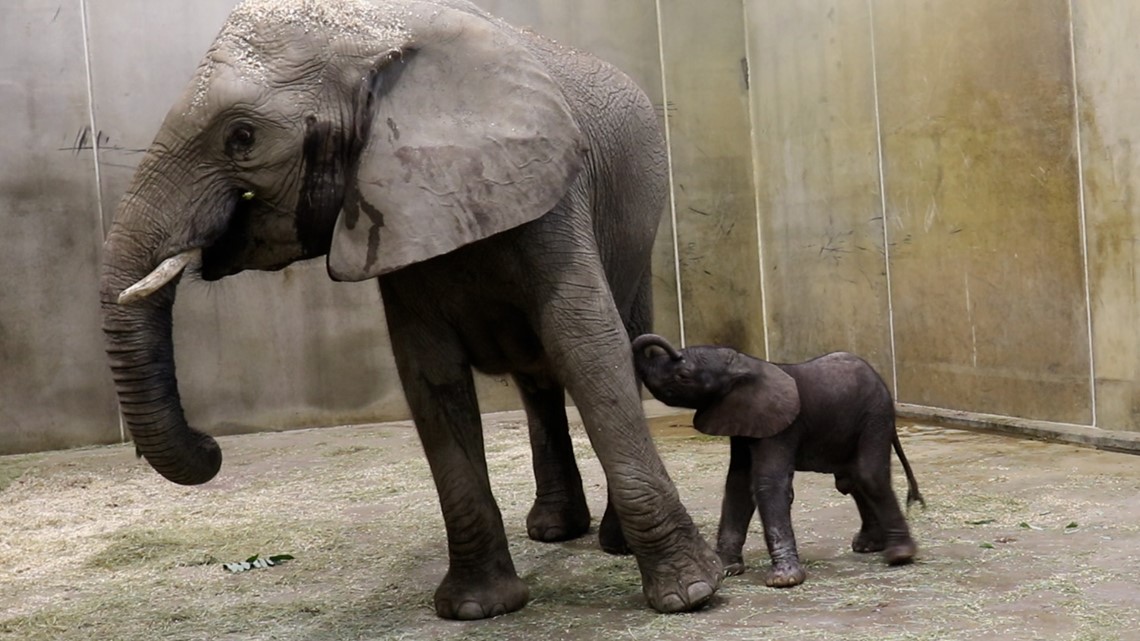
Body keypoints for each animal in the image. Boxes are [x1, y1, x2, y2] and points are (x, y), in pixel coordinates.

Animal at [100, 0, 720, 620]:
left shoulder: (551, 194)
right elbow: (429, 376)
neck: (376, 34)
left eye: (242, 137)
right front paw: (476, 609)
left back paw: (610, 543)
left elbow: (588, 348)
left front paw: (689, 594)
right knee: (535, 380)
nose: (211, 446)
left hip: (637, 228)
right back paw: (552, 531)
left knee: (617, 341)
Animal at [633, 330, 925, 588]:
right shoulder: (743, 423)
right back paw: (868, 546)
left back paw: (899, 555)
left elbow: (767, 484)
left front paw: (784, 580)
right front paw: (726, 569)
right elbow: (738, 485)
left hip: (875, 416)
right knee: (850, 480)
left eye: (683, 376)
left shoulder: (783, 427)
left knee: (867, 474)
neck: (745, 363)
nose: (666, 346)